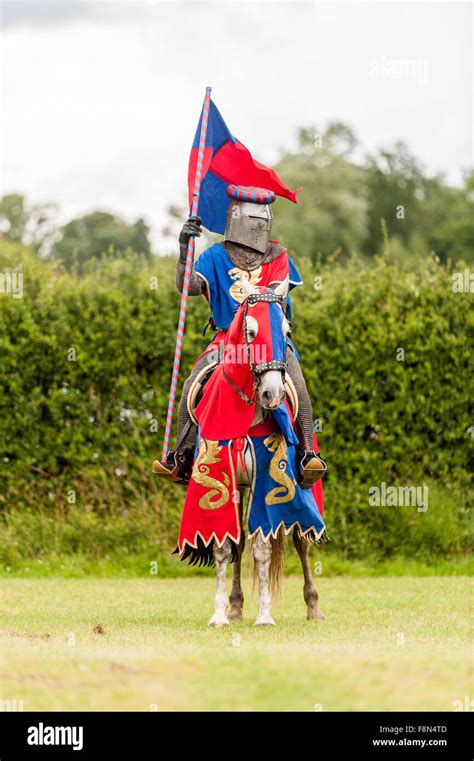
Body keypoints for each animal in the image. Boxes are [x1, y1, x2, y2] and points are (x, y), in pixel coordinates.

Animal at [174, 276, 326, 628]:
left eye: (286, 331)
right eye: (252, 332)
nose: (273, 393)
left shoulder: (269, 480)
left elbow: (263, 549)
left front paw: (265, 615)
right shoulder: (221, 476)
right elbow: (223, 546)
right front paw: (220, 614)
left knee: (300, 540)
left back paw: (313, 607)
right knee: (239, 542)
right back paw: (235, 605)